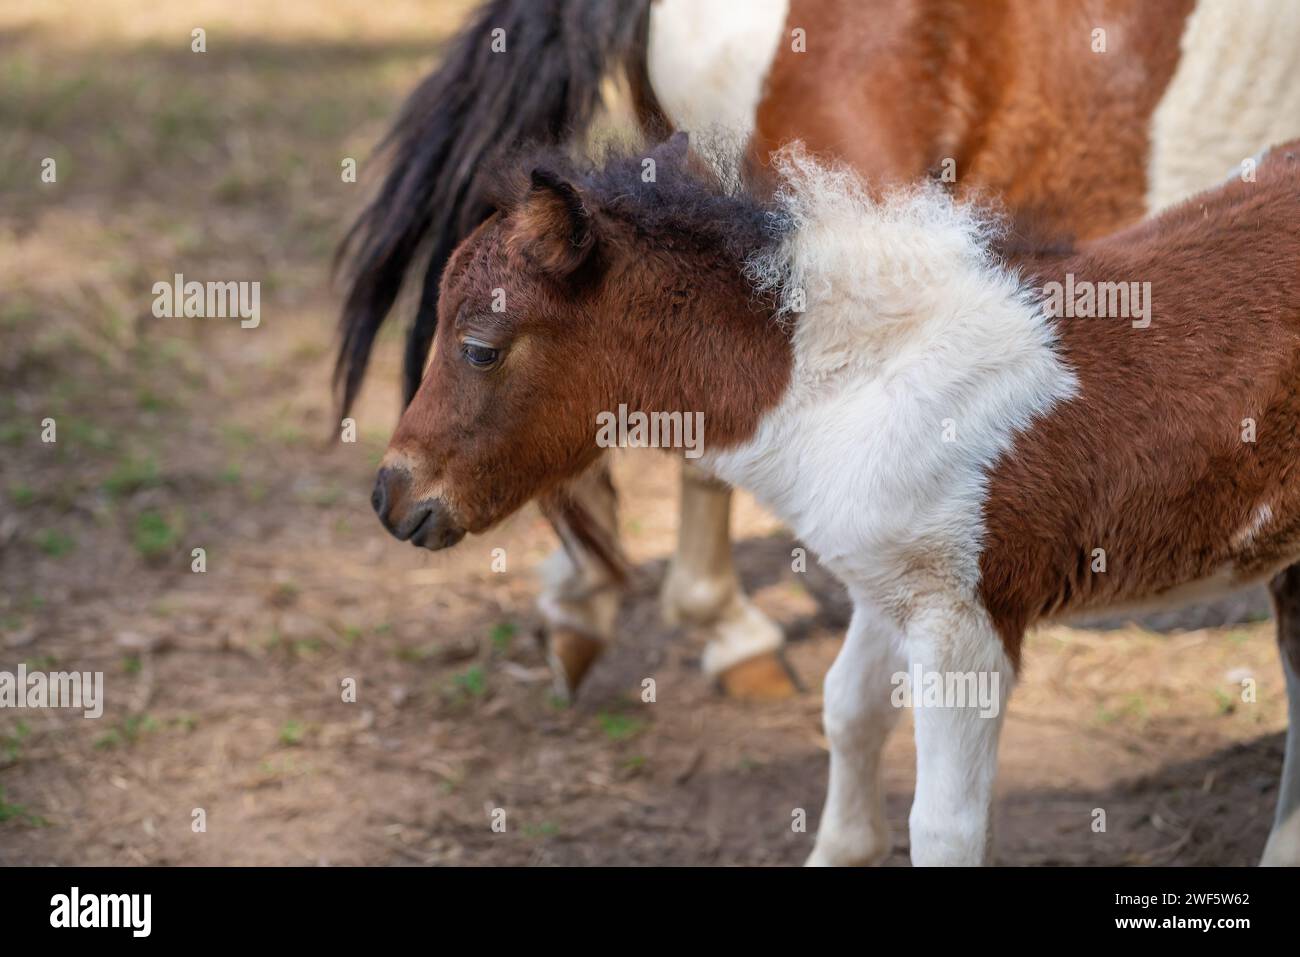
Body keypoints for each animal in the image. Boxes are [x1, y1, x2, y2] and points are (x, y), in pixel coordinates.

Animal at [370, 134, 1300, 865]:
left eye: (480, 347)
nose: (391, 495)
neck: (861, 383)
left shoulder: (965, 622)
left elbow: (946, 827)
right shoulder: (885, 583)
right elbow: (848, 712)